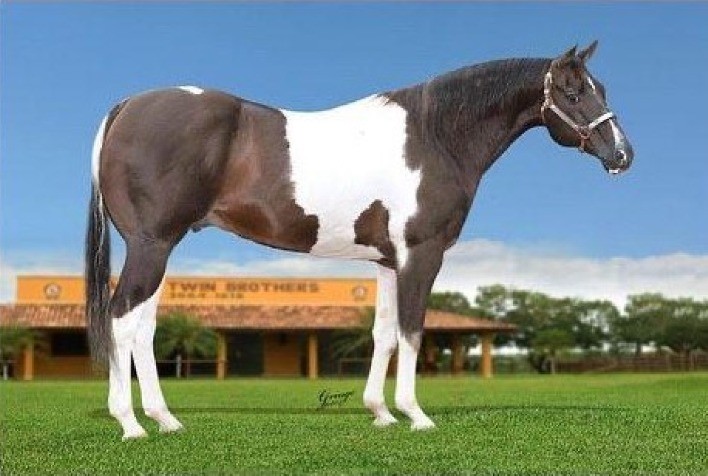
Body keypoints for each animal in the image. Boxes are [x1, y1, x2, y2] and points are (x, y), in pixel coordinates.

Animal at [85, 41, 633, 439]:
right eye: (573, 92)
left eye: (601, 87)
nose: (623, 155)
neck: (435, 136)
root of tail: (125, 107)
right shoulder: (421, 253)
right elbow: (413, 330)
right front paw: (416, 415)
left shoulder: (389, 261)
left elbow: (384, 332)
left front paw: (382, 413)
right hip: (152, 246)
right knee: (122, 319)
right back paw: (131, 425)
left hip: (159, 248)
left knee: (143, 328)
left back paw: (165, 420)